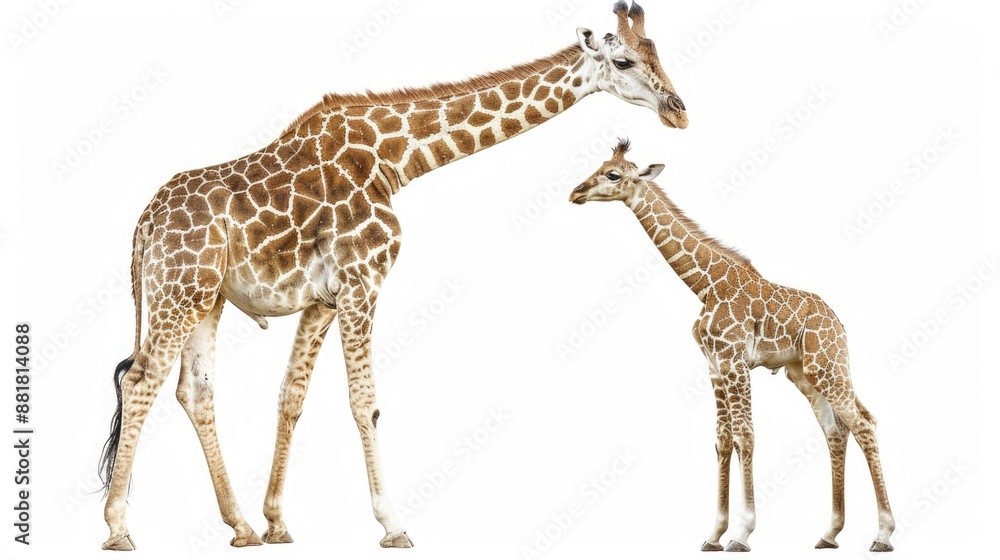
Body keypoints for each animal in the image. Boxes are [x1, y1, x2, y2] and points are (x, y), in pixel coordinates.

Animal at [96, 2, 687, 551]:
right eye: (623, 60)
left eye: (658, 52)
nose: (678, 113)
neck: (394, 160)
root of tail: (144, 223)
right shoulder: (363, 281)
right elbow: (366, 402)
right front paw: (393, 524)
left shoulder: (324, 299)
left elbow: (291, 395)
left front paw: (277, 522)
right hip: (179, 290)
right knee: (140, 380)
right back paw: (119, 528)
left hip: (205, 297)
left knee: (194, 391)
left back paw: (240, 527)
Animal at [568, 140, 895, 553]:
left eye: (612, 174)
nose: (575, 192)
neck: (704, 284)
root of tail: (838, 322)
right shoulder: (714, 366)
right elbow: (723, 441)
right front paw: (714, 535)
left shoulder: (735, 361)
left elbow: (746, 436)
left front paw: (741, 533)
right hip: (805, 373)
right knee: (836, 430)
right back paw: (830, 533)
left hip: (828, 365)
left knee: (864, 423)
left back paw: (883, 534)